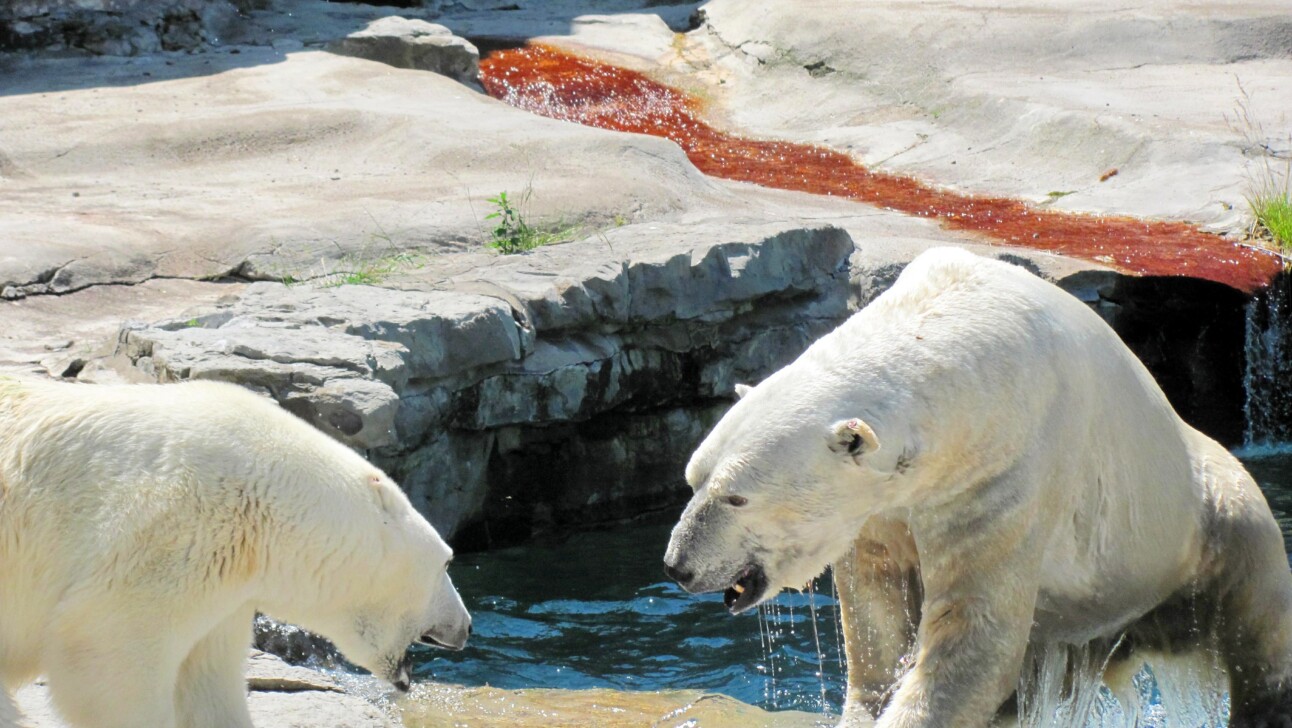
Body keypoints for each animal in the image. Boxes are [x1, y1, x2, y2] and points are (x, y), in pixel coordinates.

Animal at [0, 382, 475, 728]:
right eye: (447, 561)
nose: (467, 627)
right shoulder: (169, 540)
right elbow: (109, 657)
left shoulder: (223, 587)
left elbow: (206, 684)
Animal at [666, 249, 1292, 728]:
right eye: (693, 479)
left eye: (737, 496)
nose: (678, 566)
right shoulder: (883, 507)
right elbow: (876, 614)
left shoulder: (1000, 472)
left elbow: (974, 637)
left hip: (1208, 523)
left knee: (1257, 632)